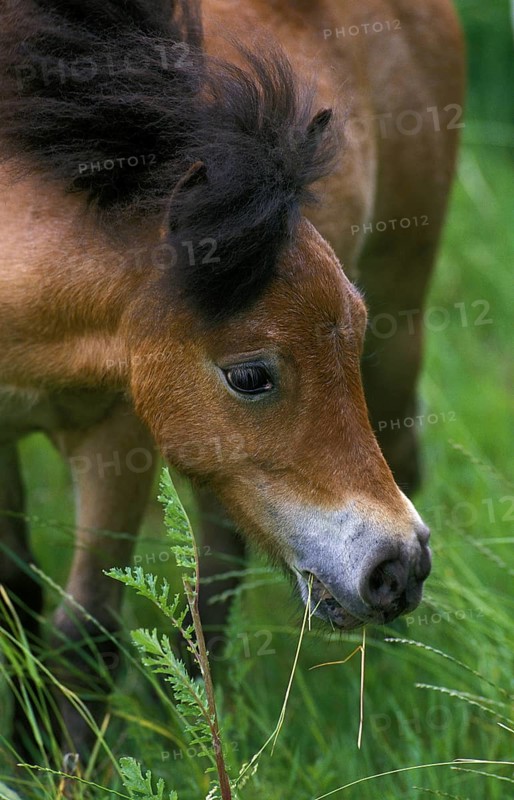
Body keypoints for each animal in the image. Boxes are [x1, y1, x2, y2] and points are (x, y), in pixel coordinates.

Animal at [0, 0, 464, 759]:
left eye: (354, 327)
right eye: (249, 375)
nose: (398, 568)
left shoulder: (117, 437)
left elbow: (86, 635)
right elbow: (16, 597)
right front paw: (24, 754)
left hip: (404, 326)